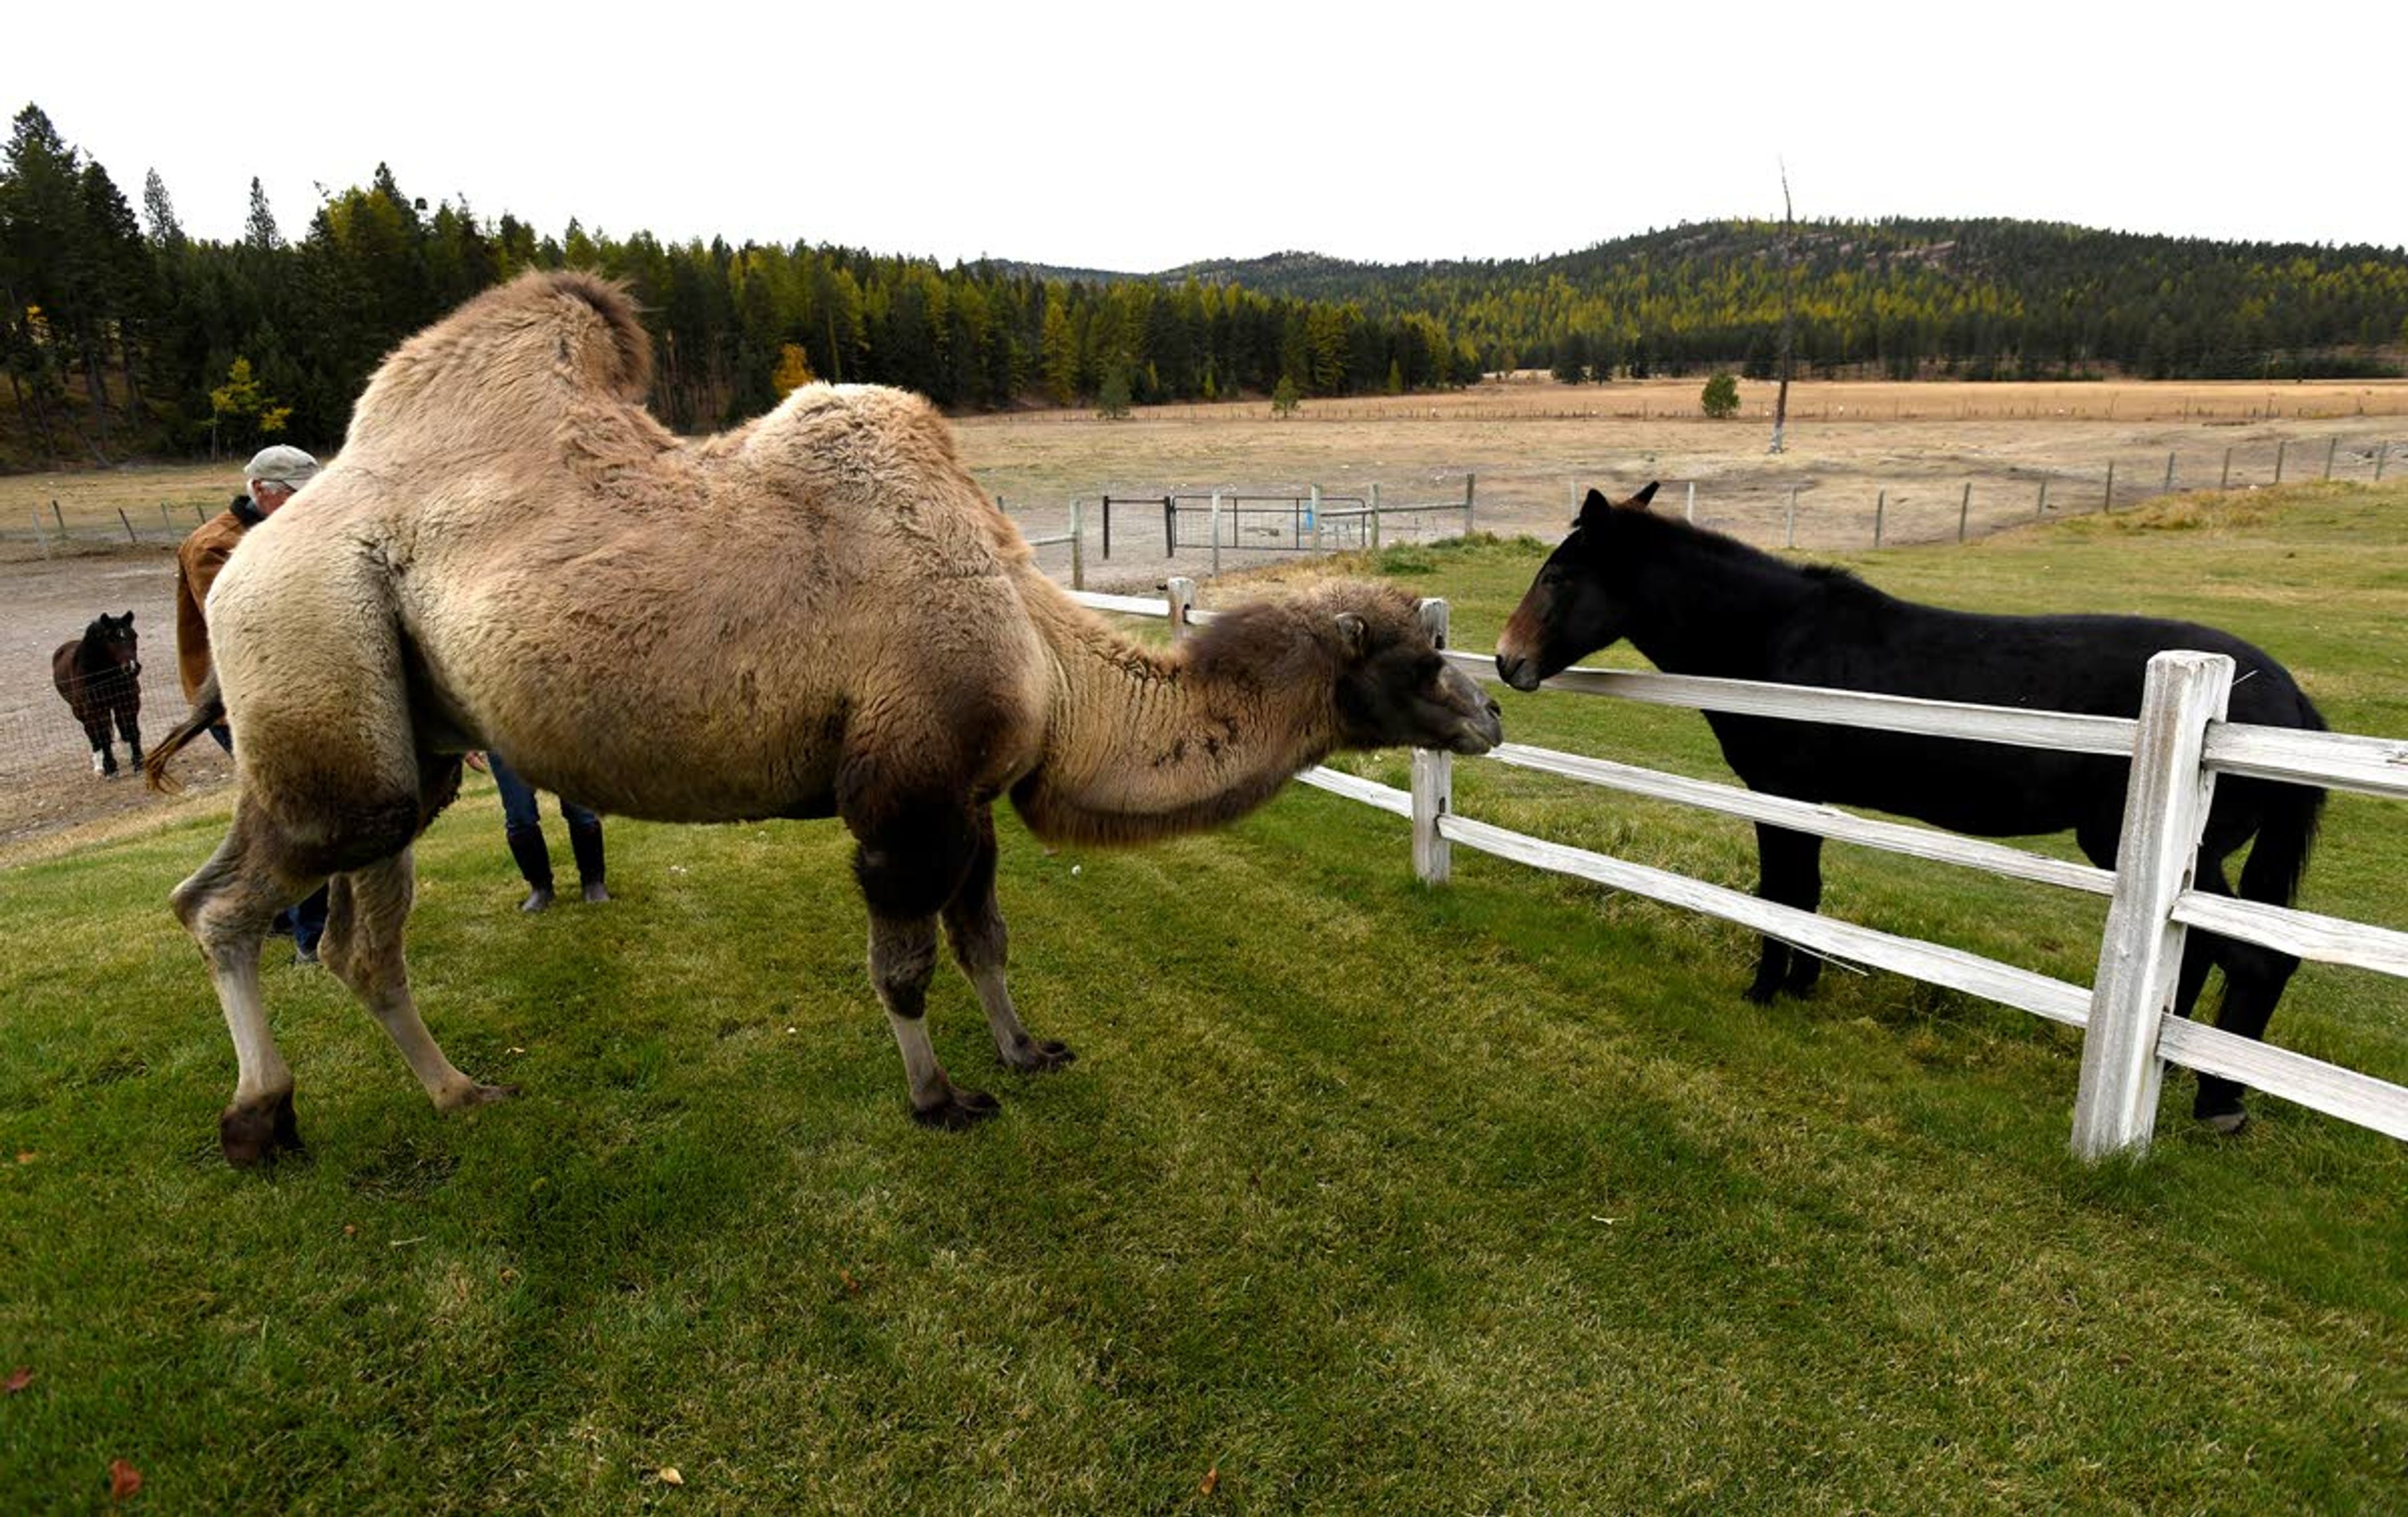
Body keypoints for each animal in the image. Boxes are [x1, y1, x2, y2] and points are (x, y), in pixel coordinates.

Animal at [53, 616, 143, 785]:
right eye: (111, 640)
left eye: (134, 635)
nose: (132, 667)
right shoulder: (94, 710)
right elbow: (103, 738)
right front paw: (111, 770)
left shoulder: (129, 701)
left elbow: (131, 730)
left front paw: (139, 764)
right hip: (81, 712)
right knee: (92, 735)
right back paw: (99, 766)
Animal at [145, 270, 1502, 1165]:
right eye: (1424, 658)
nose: (1492, 709)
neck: (1043, 644)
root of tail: (261, 546)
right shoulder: (904, 795)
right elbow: (904, 964)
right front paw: (939, 1098)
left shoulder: (971, 797)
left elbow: (986, 938)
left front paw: (1025, 1051)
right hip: (323, 663)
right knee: (221, 906)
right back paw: (259, 1118)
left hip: (393, 735)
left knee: (346, 933)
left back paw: (457, 1092)